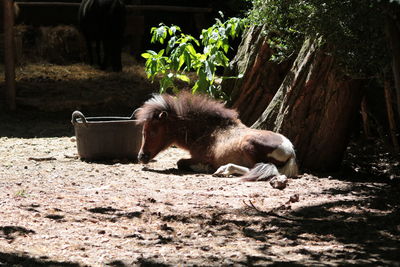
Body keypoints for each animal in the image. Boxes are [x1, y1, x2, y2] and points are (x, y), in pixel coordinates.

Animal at [136, 92, 298, 184]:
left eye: (153, 131)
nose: (141, 156)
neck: (208, 131)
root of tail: (290, 151)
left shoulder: (198, 157)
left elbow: (180, 162)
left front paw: (204, 167)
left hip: (248, 145)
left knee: (254, 169)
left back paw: (224, 169)